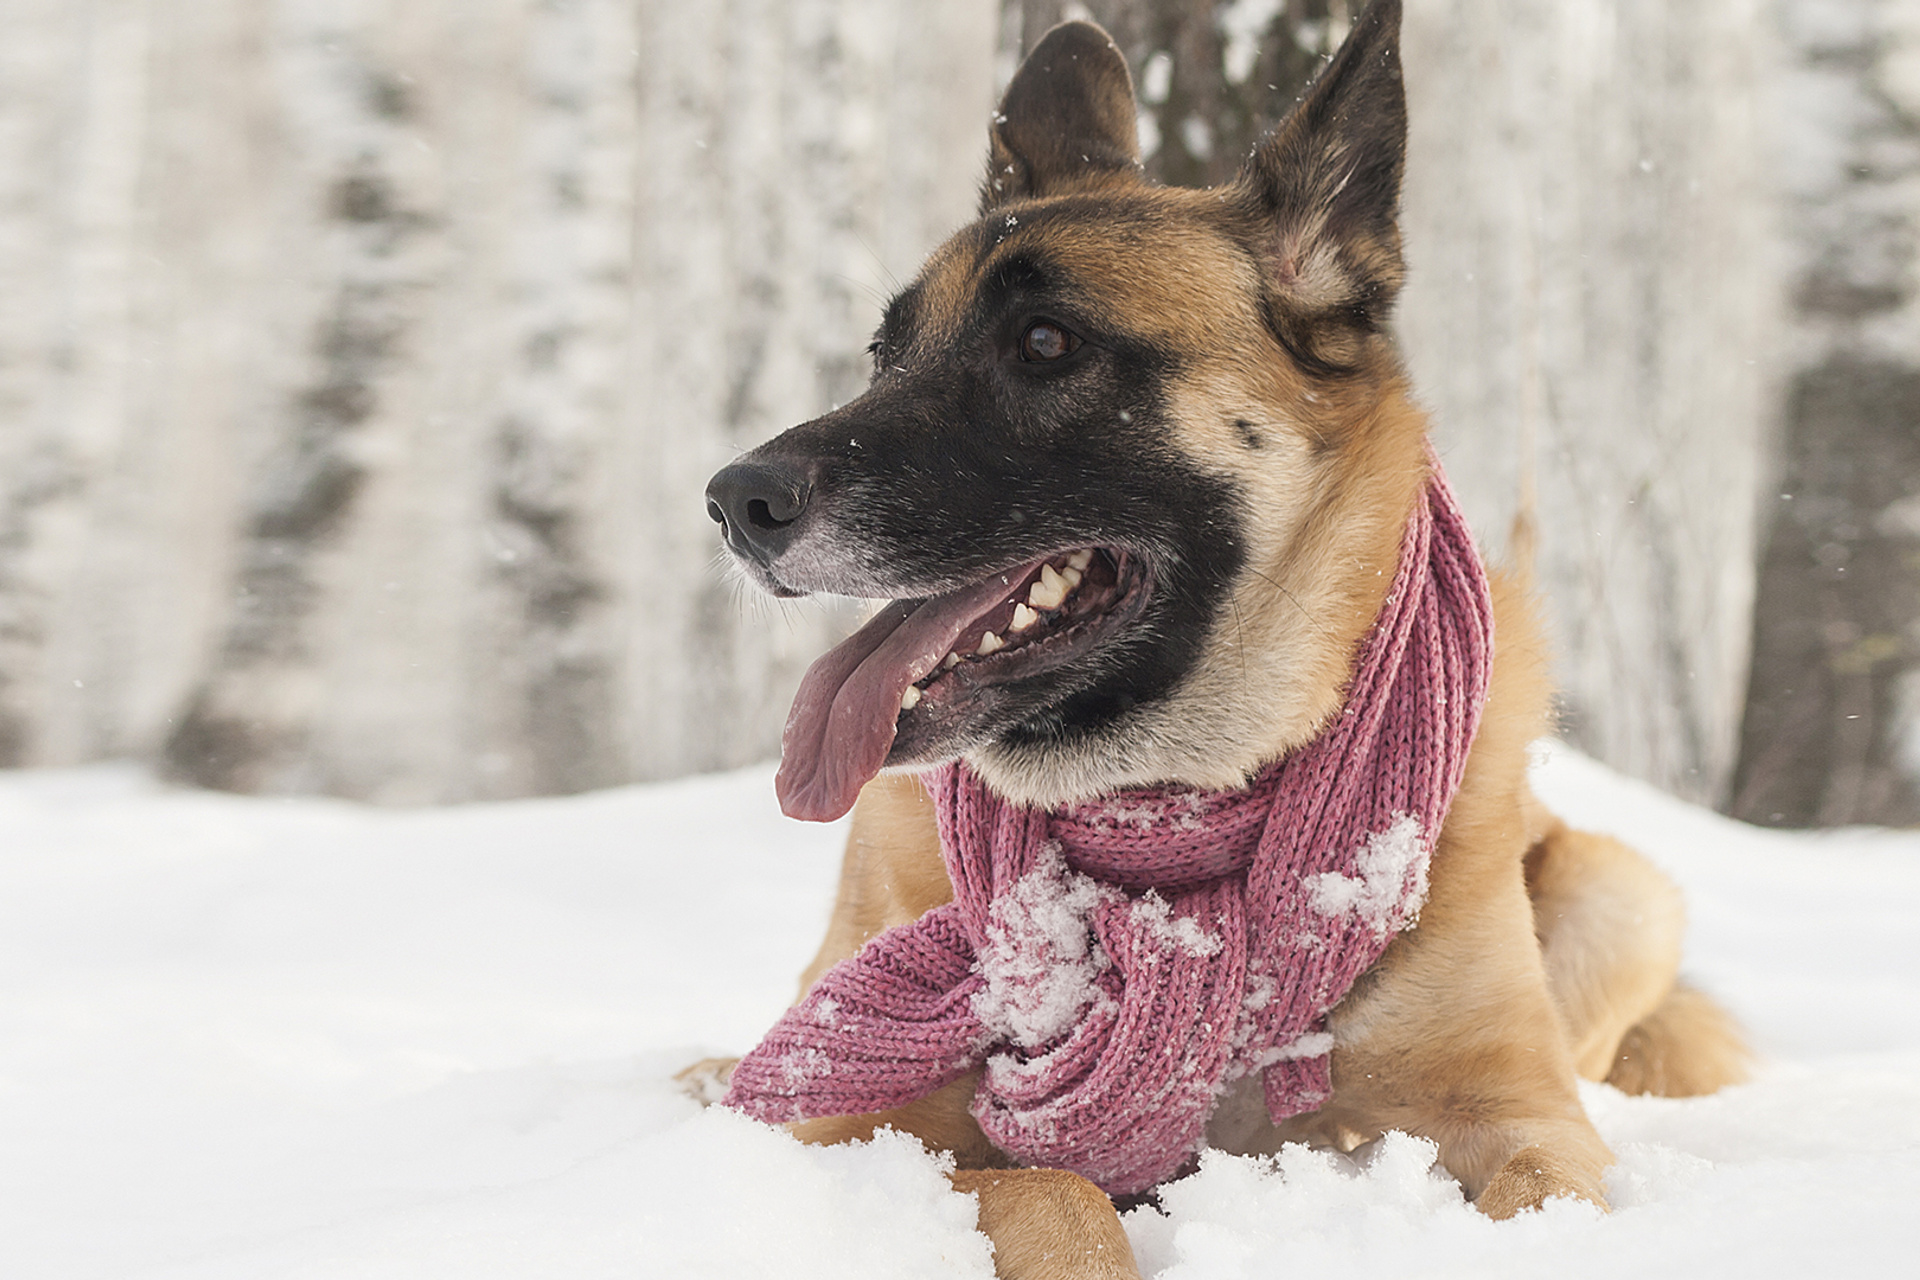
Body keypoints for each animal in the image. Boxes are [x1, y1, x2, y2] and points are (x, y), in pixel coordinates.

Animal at [698, 5, 1751, 1274]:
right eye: (884, 353)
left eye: (1045, 342)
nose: (734, 500)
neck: (1182, 817)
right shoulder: (848, 1134)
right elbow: (1053, 1189)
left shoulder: (1528, 1116)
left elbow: (1544, 1192)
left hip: (1619, 893)